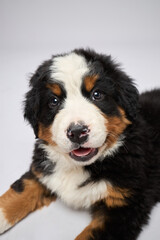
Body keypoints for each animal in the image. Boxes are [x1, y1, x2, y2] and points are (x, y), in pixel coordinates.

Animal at [0, 48, 160, 240]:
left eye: (97, 94)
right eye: (54, 101)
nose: (77, 132)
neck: (77, 166)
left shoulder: (124, 206)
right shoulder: (41, 172)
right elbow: (18, 192)